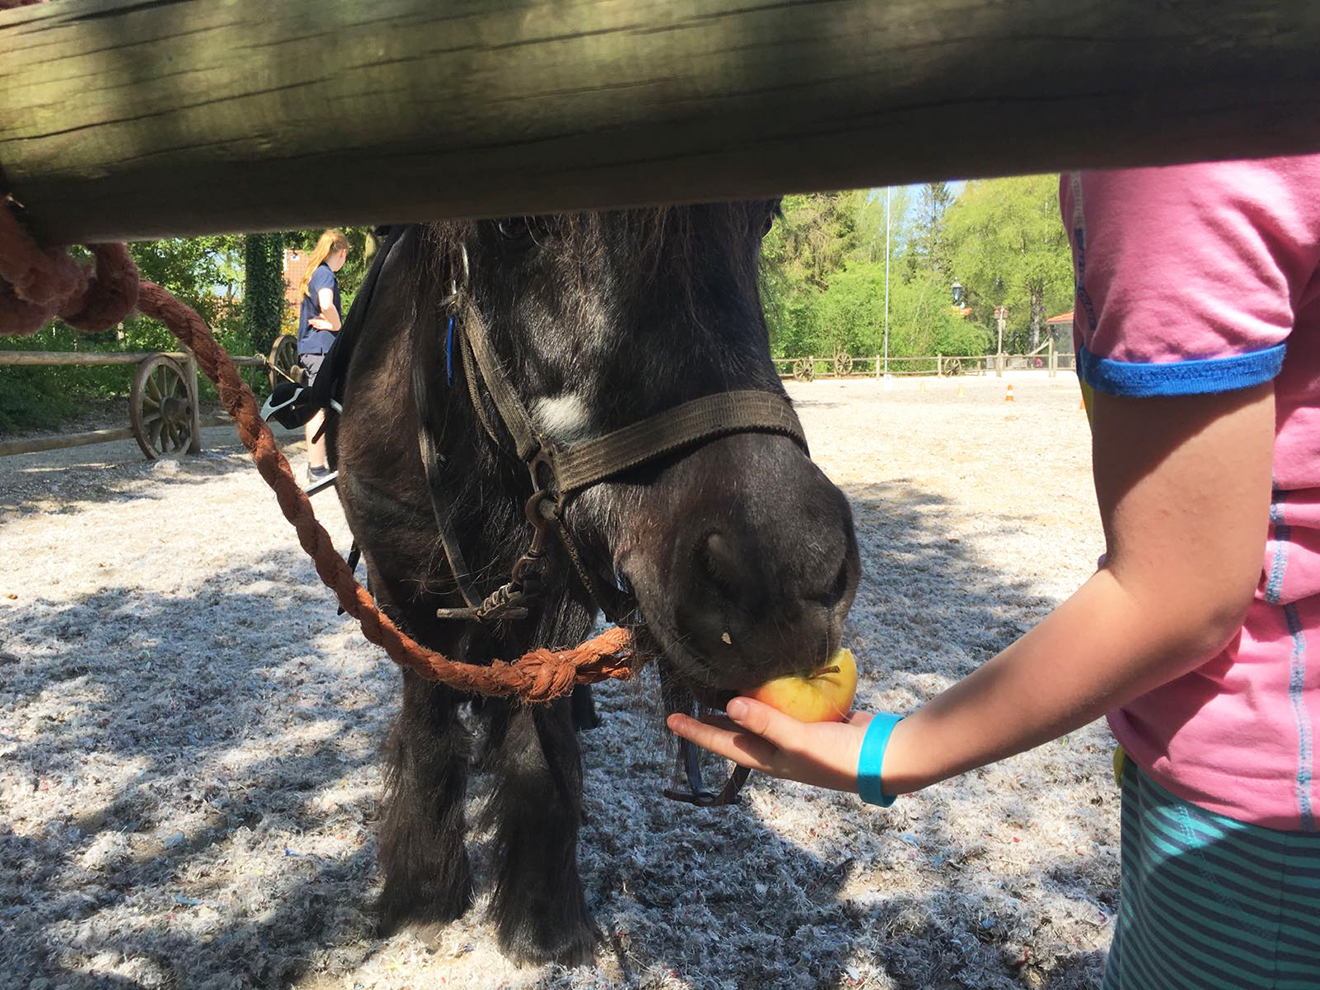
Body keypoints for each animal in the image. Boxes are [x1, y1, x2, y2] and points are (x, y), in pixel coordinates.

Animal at [332, 205, 855, 966]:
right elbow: (429, 728)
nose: (788, 575)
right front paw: (422, 893)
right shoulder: (400, 592)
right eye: (514, 228)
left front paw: (542, 918)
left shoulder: (556, 600)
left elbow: (537, 741)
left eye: (761, 219)